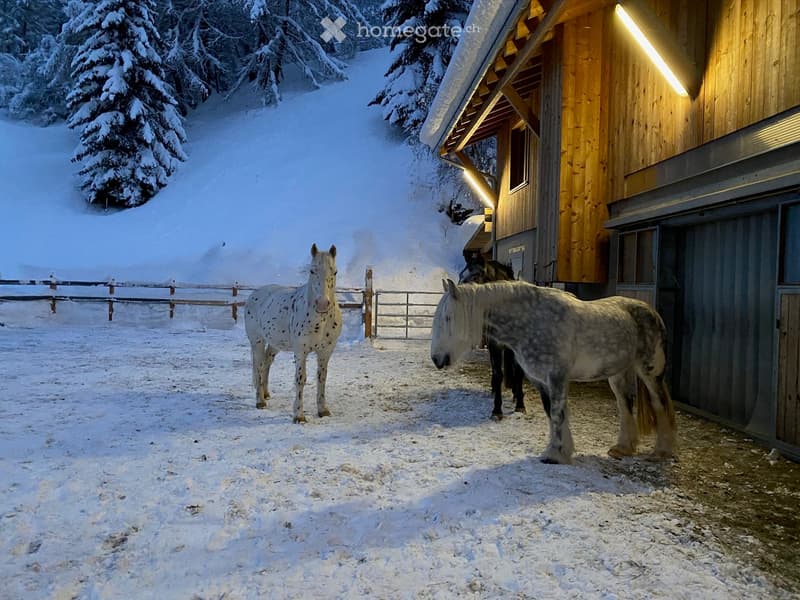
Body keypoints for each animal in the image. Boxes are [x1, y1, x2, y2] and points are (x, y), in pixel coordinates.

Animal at [244, 244, 342, 423]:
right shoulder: (301, 351)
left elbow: (322, 378)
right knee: (259, 366)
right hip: (257, 342)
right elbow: (300, 379)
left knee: (267, 362)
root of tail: (255, 294)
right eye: (312, 271)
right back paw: (260, 400)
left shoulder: (325, 352)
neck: (320, 321)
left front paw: (323, 410)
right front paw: (299, 415)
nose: (322, 304)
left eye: (335, 272)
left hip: (274, 344)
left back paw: (266, 393)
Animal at [430, 279, 676, 464]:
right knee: (625, 404)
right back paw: (623, 448)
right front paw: (561, 450)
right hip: (618, 374)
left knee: (660, 404)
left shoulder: (557, 378)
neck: (532, 321)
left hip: (650, 371)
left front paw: (554, 455)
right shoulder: (541, 381)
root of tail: (652, 312)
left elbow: (557, 413)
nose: (436, 359)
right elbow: (552, 413)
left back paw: (661, 452)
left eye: (448, 318)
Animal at [458, 255, 530, 419]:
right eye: (462, 274)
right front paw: (497, 410)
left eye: (476, 275)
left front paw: (520, 405)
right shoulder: (494, 345)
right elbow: (498, 374)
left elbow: (518, 373)